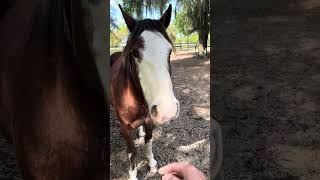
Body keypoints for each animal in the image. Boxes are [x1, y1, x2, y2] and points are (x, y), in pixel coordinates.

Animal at [110, 4, 180, 180]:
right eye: (135, 53)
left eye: (169, 51)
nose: (167, 111)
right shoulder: (126, 129)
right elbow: (132, 152)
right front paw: (133, 175)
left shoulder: (150, 121)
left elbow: (148, 142)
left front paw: (152, 164)